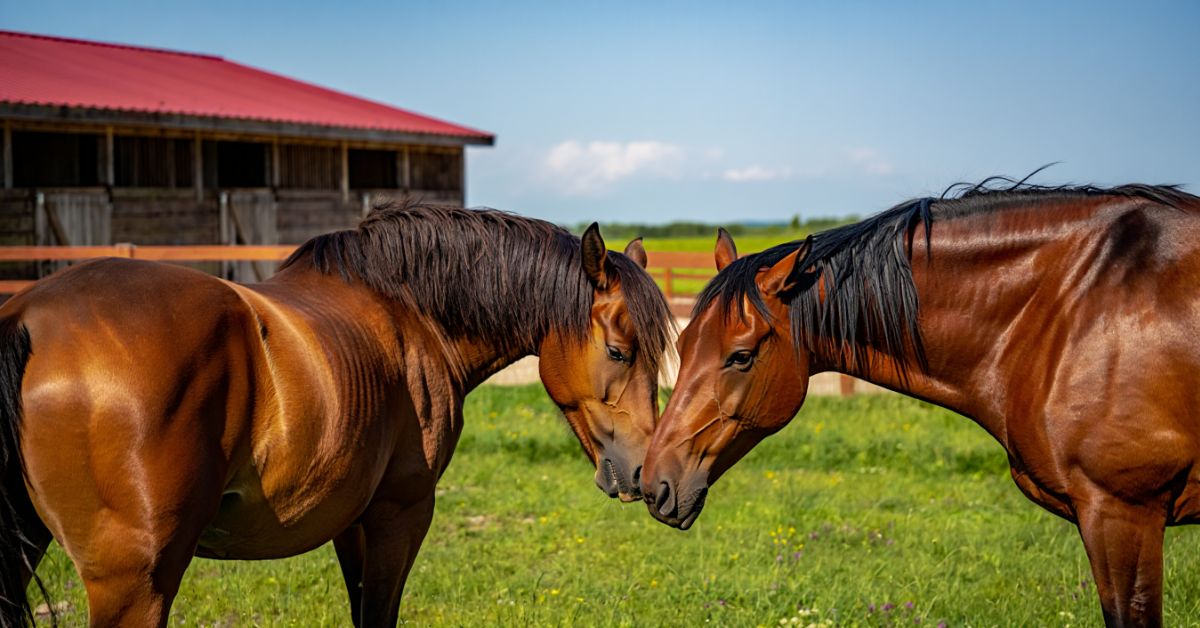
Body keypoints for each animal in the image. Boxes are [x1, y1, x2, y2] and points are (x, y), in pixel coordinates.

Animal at [0, 202, 674, 627]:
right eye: (619, 351)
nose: (646, 474)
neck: (412, 313)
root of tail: (26, 317)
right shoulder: (399, 513)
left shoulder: (352, 521)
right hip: (136, 582)